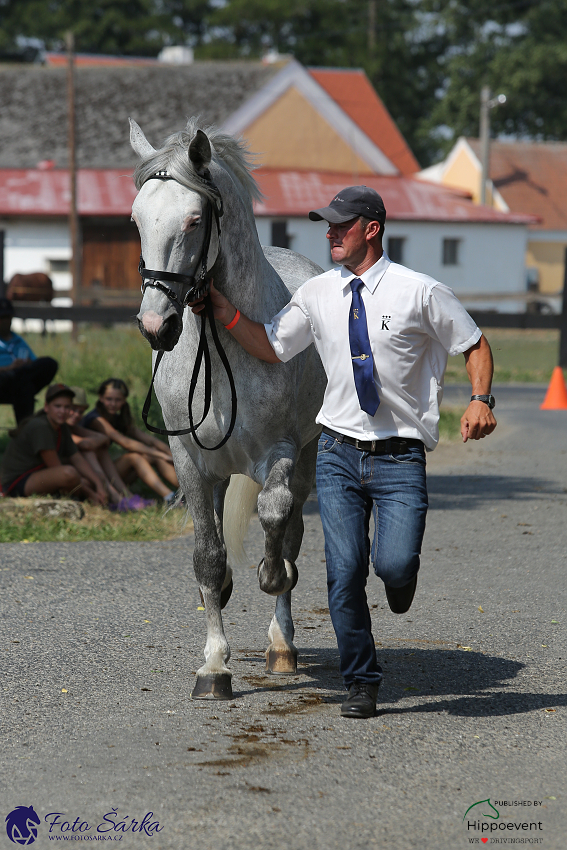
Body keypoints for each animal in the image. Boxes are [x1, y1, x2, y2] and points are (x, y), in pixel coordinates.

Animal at [129, 116, 324, 700]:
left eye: (195, 219)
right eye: (136, 220)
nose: (156, 326)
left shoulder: (281, 452)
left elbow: (275, 519)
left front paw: (270, 577)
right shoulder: (191, 464)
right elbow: (209, 560)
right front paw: (214, 667)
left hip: (306, 457)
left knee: (291, 530)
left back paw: (281, 644)